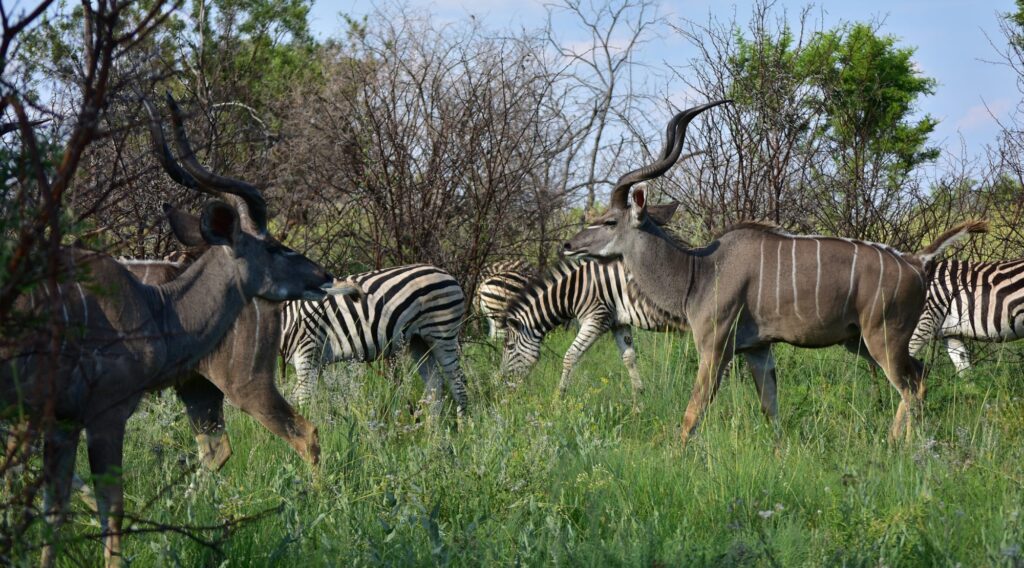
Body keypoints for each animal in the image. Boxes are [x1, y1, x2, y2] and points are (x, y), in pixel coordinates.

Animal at [281, 264, 469, 412]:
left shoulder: (308, 354)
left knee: (458, 383)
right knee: (435, 384)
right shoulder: (316, 363)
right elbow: (301, 401)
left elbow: (304, 402)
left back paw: (461, 429)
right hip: (418, 342)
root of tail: (445, 273)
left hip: (443, 332)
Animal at [499, 258, 685, 401]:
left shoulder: (595, 319)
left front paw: (558, 399)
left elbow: (570, 356)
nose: (502, 384)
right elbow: (628, 357)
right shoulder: (618, 323)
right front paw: (638, 399)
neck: (574, 291)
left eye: (510, 347)